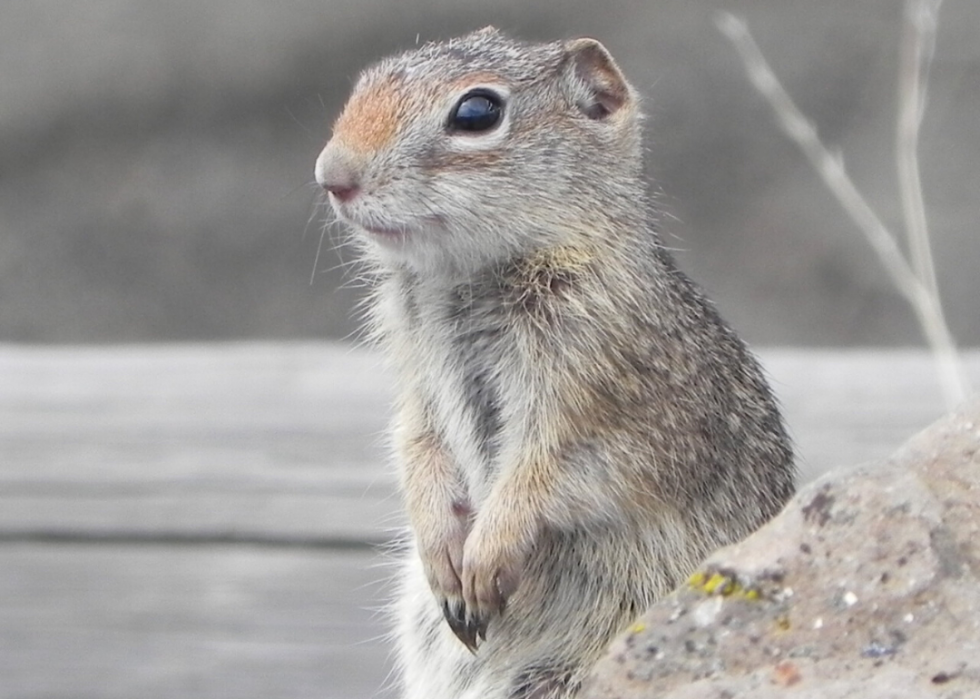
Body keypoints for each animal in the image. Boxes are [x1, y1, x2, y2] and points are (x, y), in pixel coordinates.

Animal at [314, 27, 796, 699]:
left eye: (477, 112)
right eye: (366, 83)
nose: (332, 176)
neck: (466, 276)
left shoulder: (600, 409)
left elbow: (541, 479)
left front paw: (483, 559)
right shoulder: (416, 391)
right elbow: (417, 448)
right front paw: (442, 551)